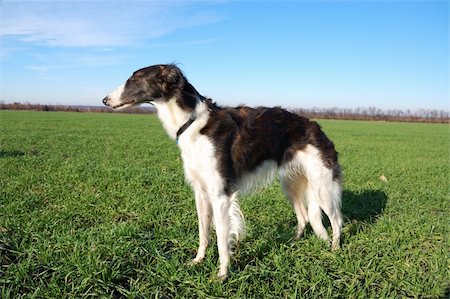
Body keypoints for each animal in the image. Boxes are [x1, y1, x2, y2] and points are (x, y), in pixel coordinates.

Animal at [102, 63, 342, 278]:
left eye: (135, 78)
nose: (104, 100)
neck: (192, 124)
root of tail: (315, 126)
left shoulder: (220, 194)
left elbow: (221, 240)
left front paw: (222, 274)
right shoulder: (200, 192)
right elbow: (203, 233)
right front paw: (197, 261)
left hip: (322, 186)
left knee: (336, 220)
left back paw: (334, 249)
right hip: (292, 184)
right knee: (304, 217)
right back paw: (295, 241)